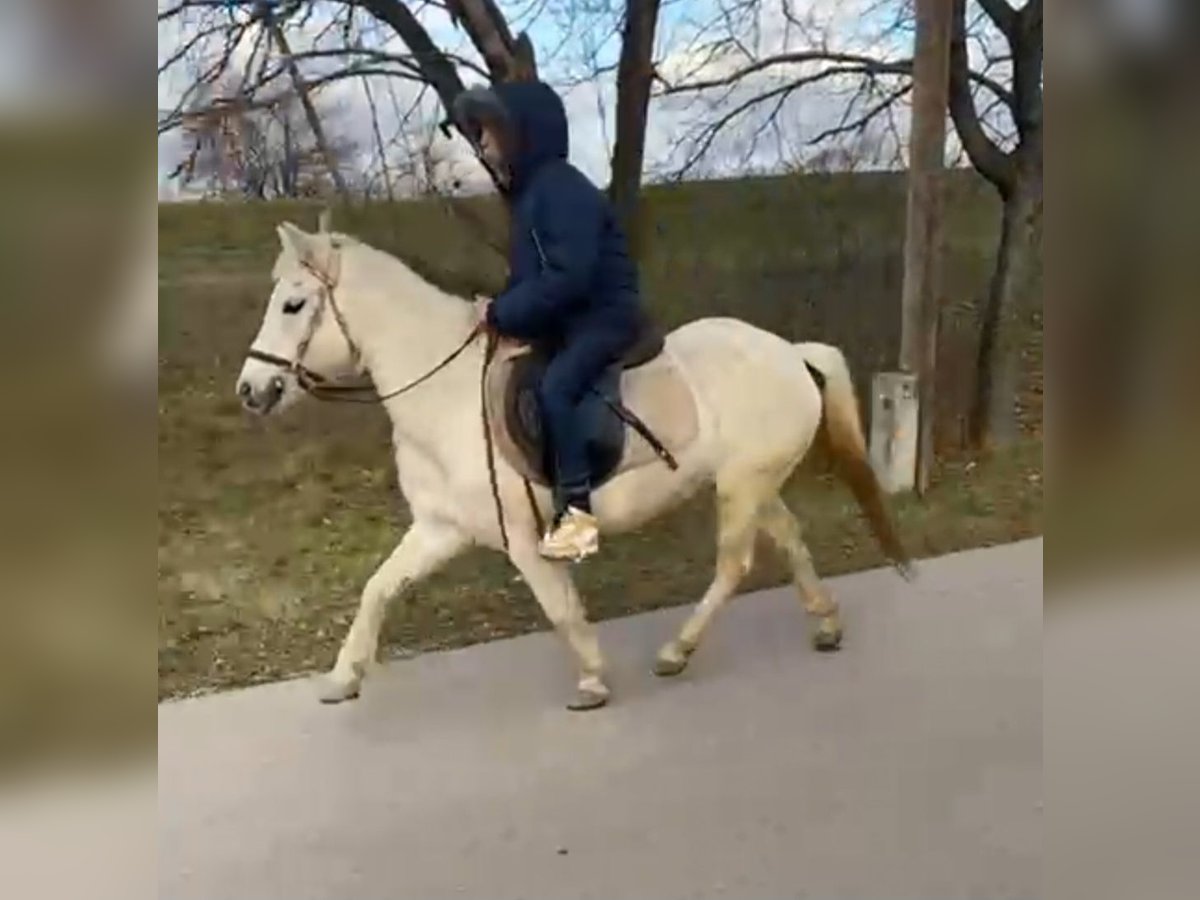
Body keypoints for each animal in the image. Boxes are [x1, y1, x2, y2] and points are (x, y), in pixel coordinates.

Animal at [236, 220, 907, 710]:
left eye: (293, 304)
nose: (250, 390)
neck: (445, 393)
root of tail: (790, 352)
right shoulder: (439, 529)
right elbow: (378, 588)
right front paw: (343, 677)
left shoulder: (522, 539)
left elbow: (559, 608)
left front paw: (591, 678)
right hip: (754, 483)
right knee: (790, 540)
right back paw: (824, 624)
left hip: (741, 487)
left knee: (733, 566)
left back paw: (677, 651)